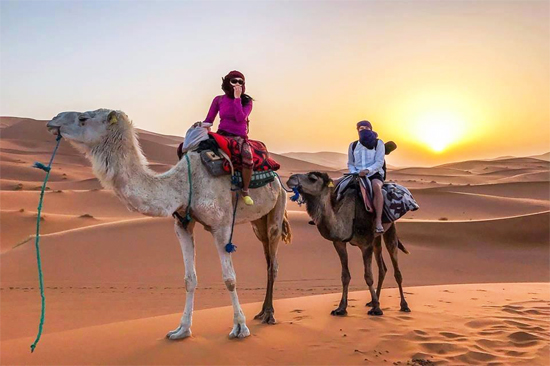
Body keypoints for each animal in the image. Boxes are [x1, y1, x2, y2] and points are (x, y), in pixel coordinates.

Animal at [46, 108, 294, 340]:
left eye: (83, 119)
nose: (53, 120)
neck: (181, 185)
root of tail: (277, 176)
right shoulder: (182, 225)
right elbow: (189, 279)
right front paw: (181, 330)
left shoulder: (221, 226)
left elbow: (229, 278)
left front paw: (240, 328)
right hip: (257, 222)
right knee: (268, 257)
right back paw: (261, 312)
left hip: (277, 208)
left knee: (273, 263)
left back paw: (269, 315)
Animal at [284, 173, 410, 316]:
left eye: (313, 178)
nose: (291, 179)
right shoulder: (339, 243)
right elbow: (345, 276)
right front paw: (341, 308)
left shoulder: (365, 245)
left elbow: (368, 276)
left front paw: (377, 309)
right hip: (376, 239)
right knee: (382, 267)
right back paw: (373, 301)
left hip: (390, 228)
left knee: (396, 268)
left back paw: (404, 305)